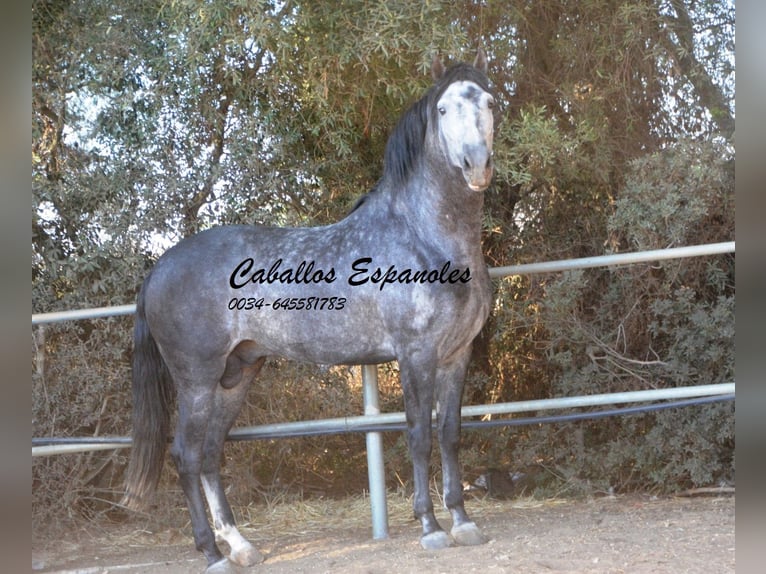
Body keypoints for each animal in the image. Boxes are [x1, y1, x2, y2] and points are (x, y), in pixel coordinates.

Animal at [124, 50, 498, 574]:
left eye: (489, 102)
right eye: (443, 110)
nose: (476, 164)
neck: (423, 237)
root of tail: (160, 267)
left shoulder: (456, 354)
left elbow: (449, 435)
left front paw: (463, 522)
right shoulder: (415, 354)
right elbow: (419, 435)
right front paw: (429, 528)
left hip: (237, 375)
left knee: (212, 454)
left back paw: (240, 545)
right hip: (196, 378)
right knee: (186, 455)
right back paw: (212, 553)